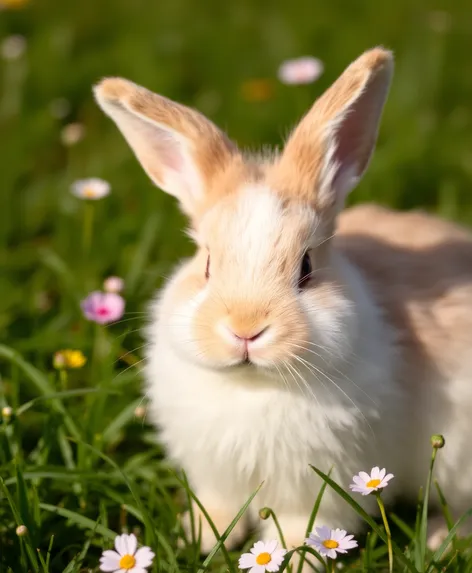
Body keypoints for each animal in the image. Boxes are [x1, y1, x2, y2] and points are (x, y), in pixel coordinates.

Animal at [94, 49, 472, 560]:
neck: (253, 385)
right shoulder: (217, 479)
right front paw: (198, 537)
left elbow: (303, 528)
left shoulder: (323, 487)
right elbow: (217, 507)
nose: (245, 329)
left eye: (307, 267)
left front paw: (291, 559)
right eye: (207, 263)